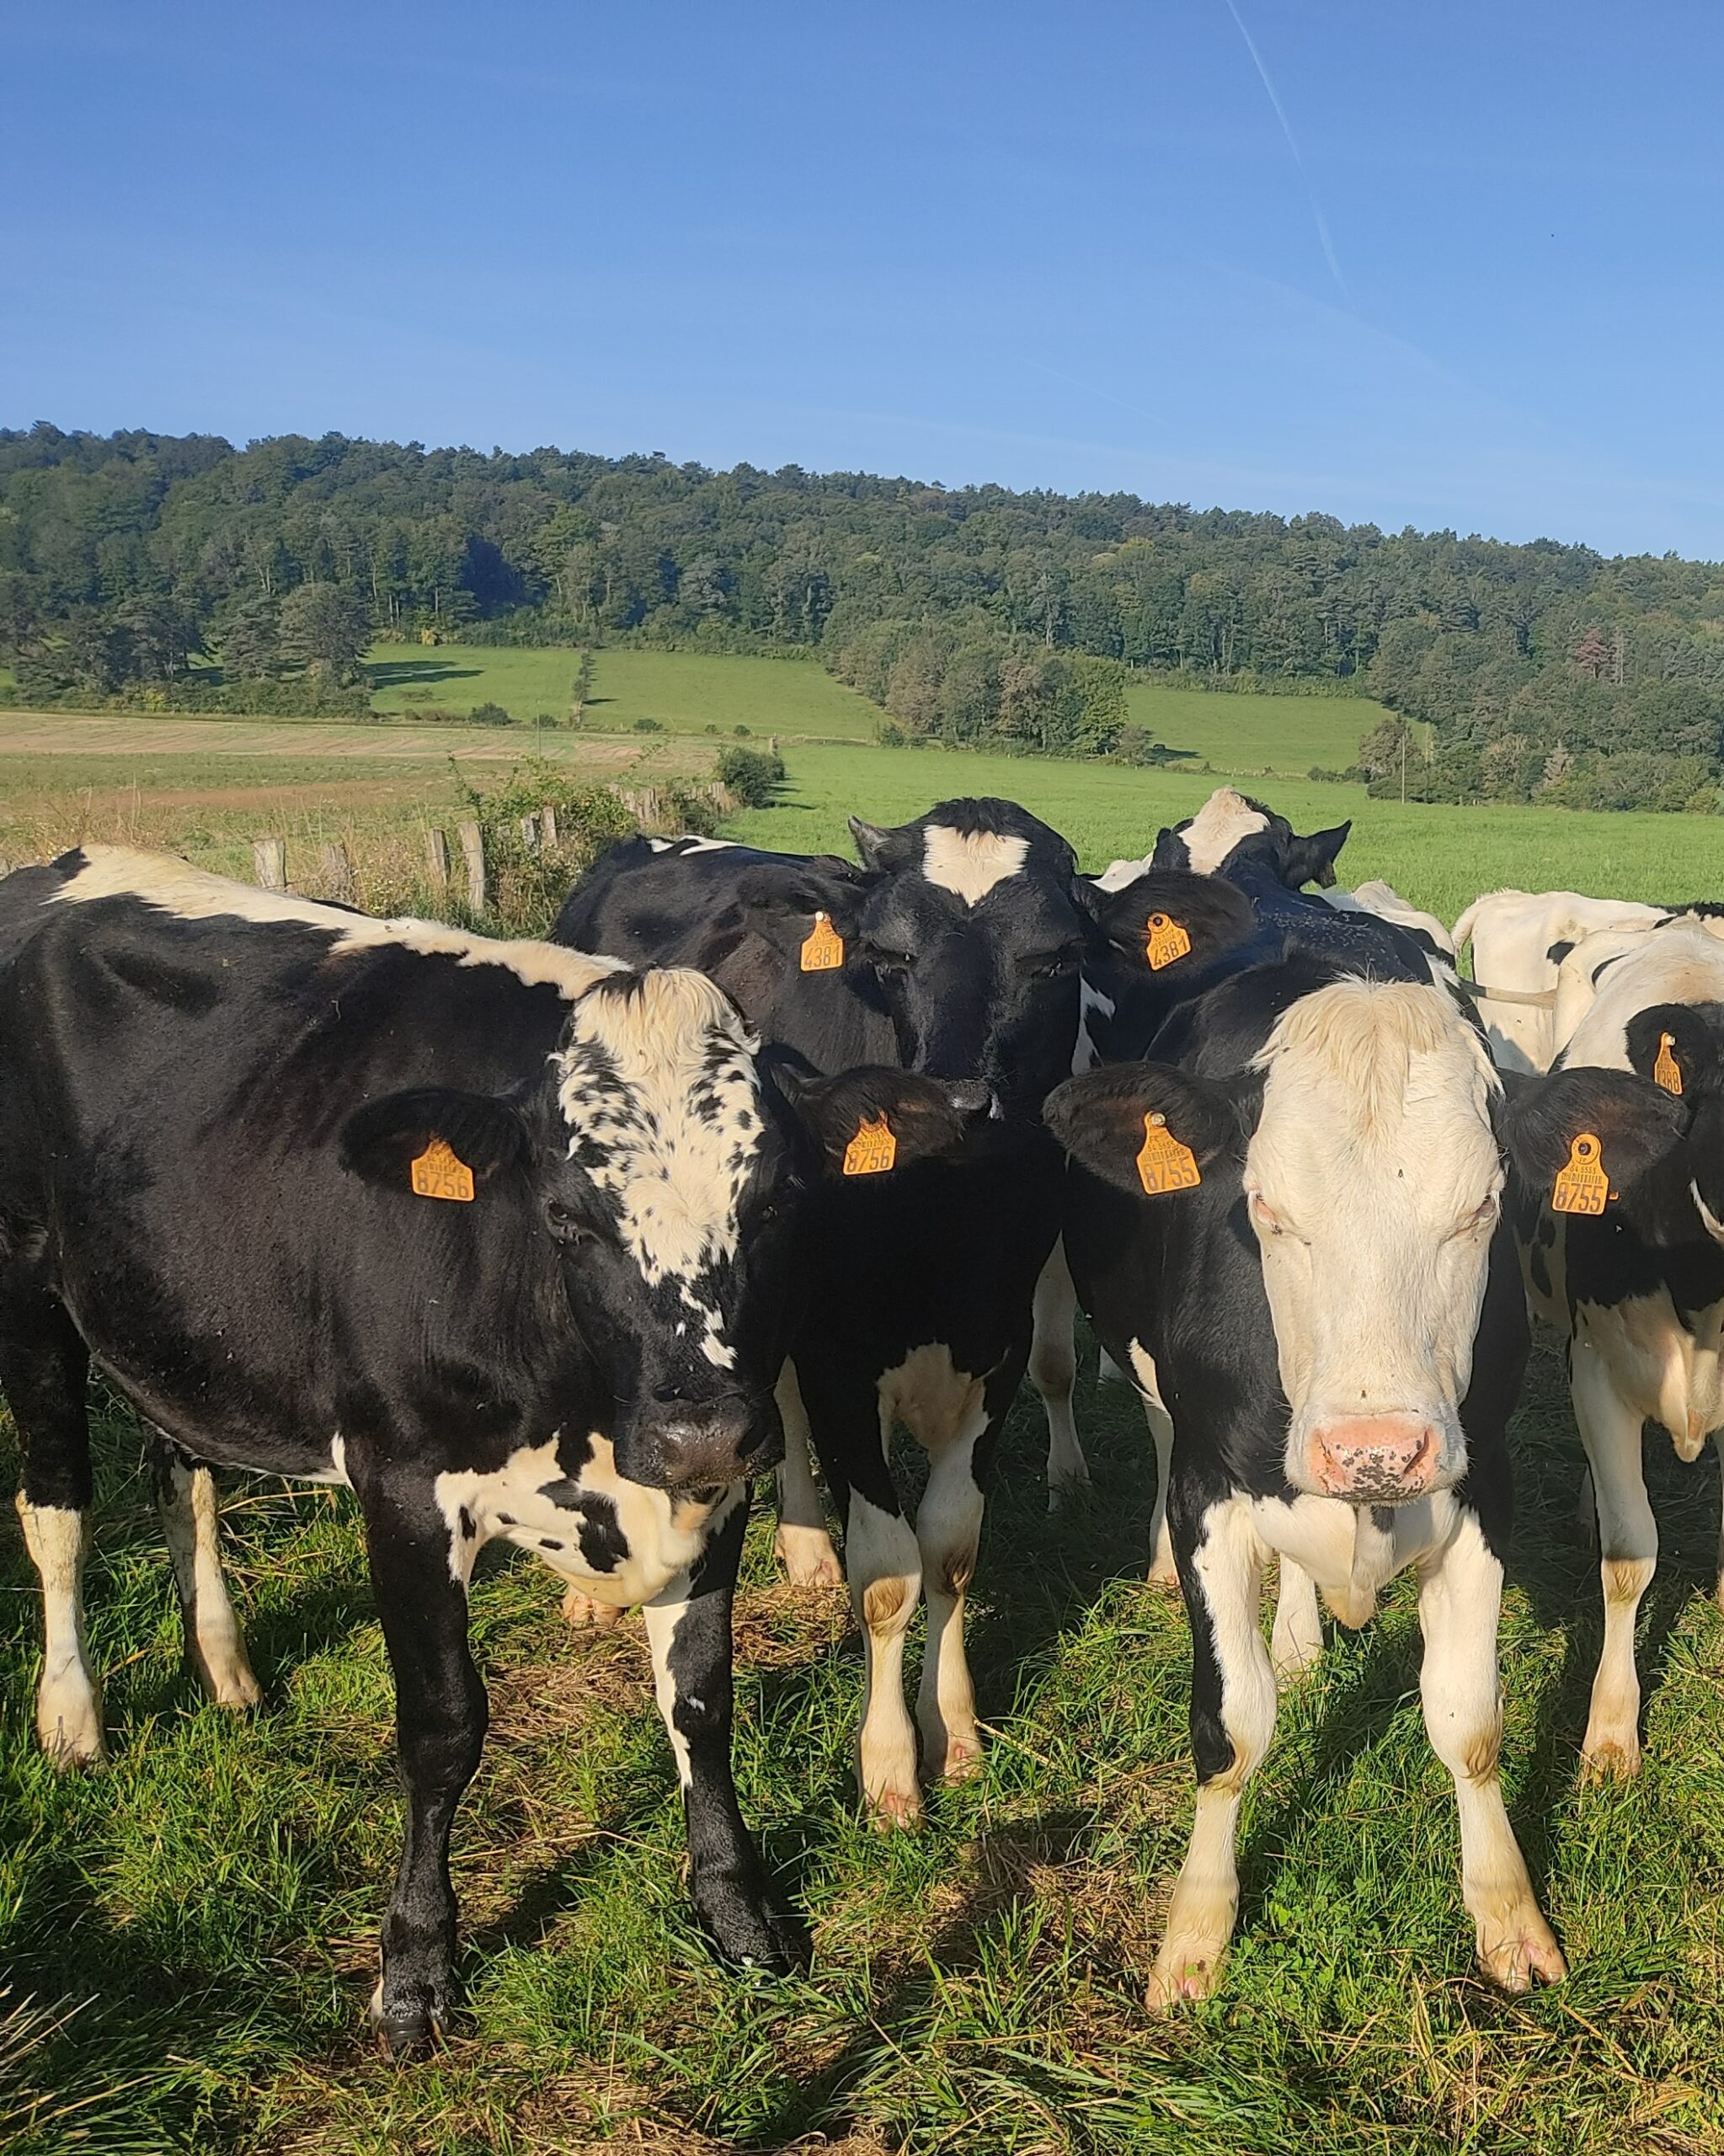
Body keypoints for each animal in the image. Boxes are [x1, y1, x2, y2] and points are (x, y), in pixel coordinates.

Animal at [0, 845, 958, 2047]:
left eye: (778, 1200)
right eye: (567, 1215)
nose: (697, 1428)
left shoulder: (712, 1494)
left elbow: (701, 1702)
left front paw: (737, 1911)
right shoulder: (405, 1487)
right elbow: (444, 1726)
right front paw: (415, 1966)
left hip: (179, 1318)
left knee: (185, 1473)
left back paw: (225, 1667)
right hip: (28, 1296)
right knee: (57, 1514)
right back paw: (71, 1717)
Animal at [555, 799, 1244, 1824]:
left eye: (1057, 958)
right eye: (884, 956)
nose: (963, 1097)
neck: (942, 1217)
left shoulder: (995, 1350)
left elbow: (950, 1547)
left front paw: (950, 1730)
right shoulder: (838, 1359)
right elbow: (885, 1575)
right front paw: (886, 1764)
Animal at [1048, 930, 1569, 2005]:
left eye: (1483, 1207)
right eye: (1264, 1207)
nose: (1373, 1452)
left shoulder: (1482, 1485)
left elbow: (1469, 1720)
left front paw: (1506, 1911)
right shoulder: (1208, 1491)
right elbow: (1231, 1726)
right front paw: (1195, 1931)